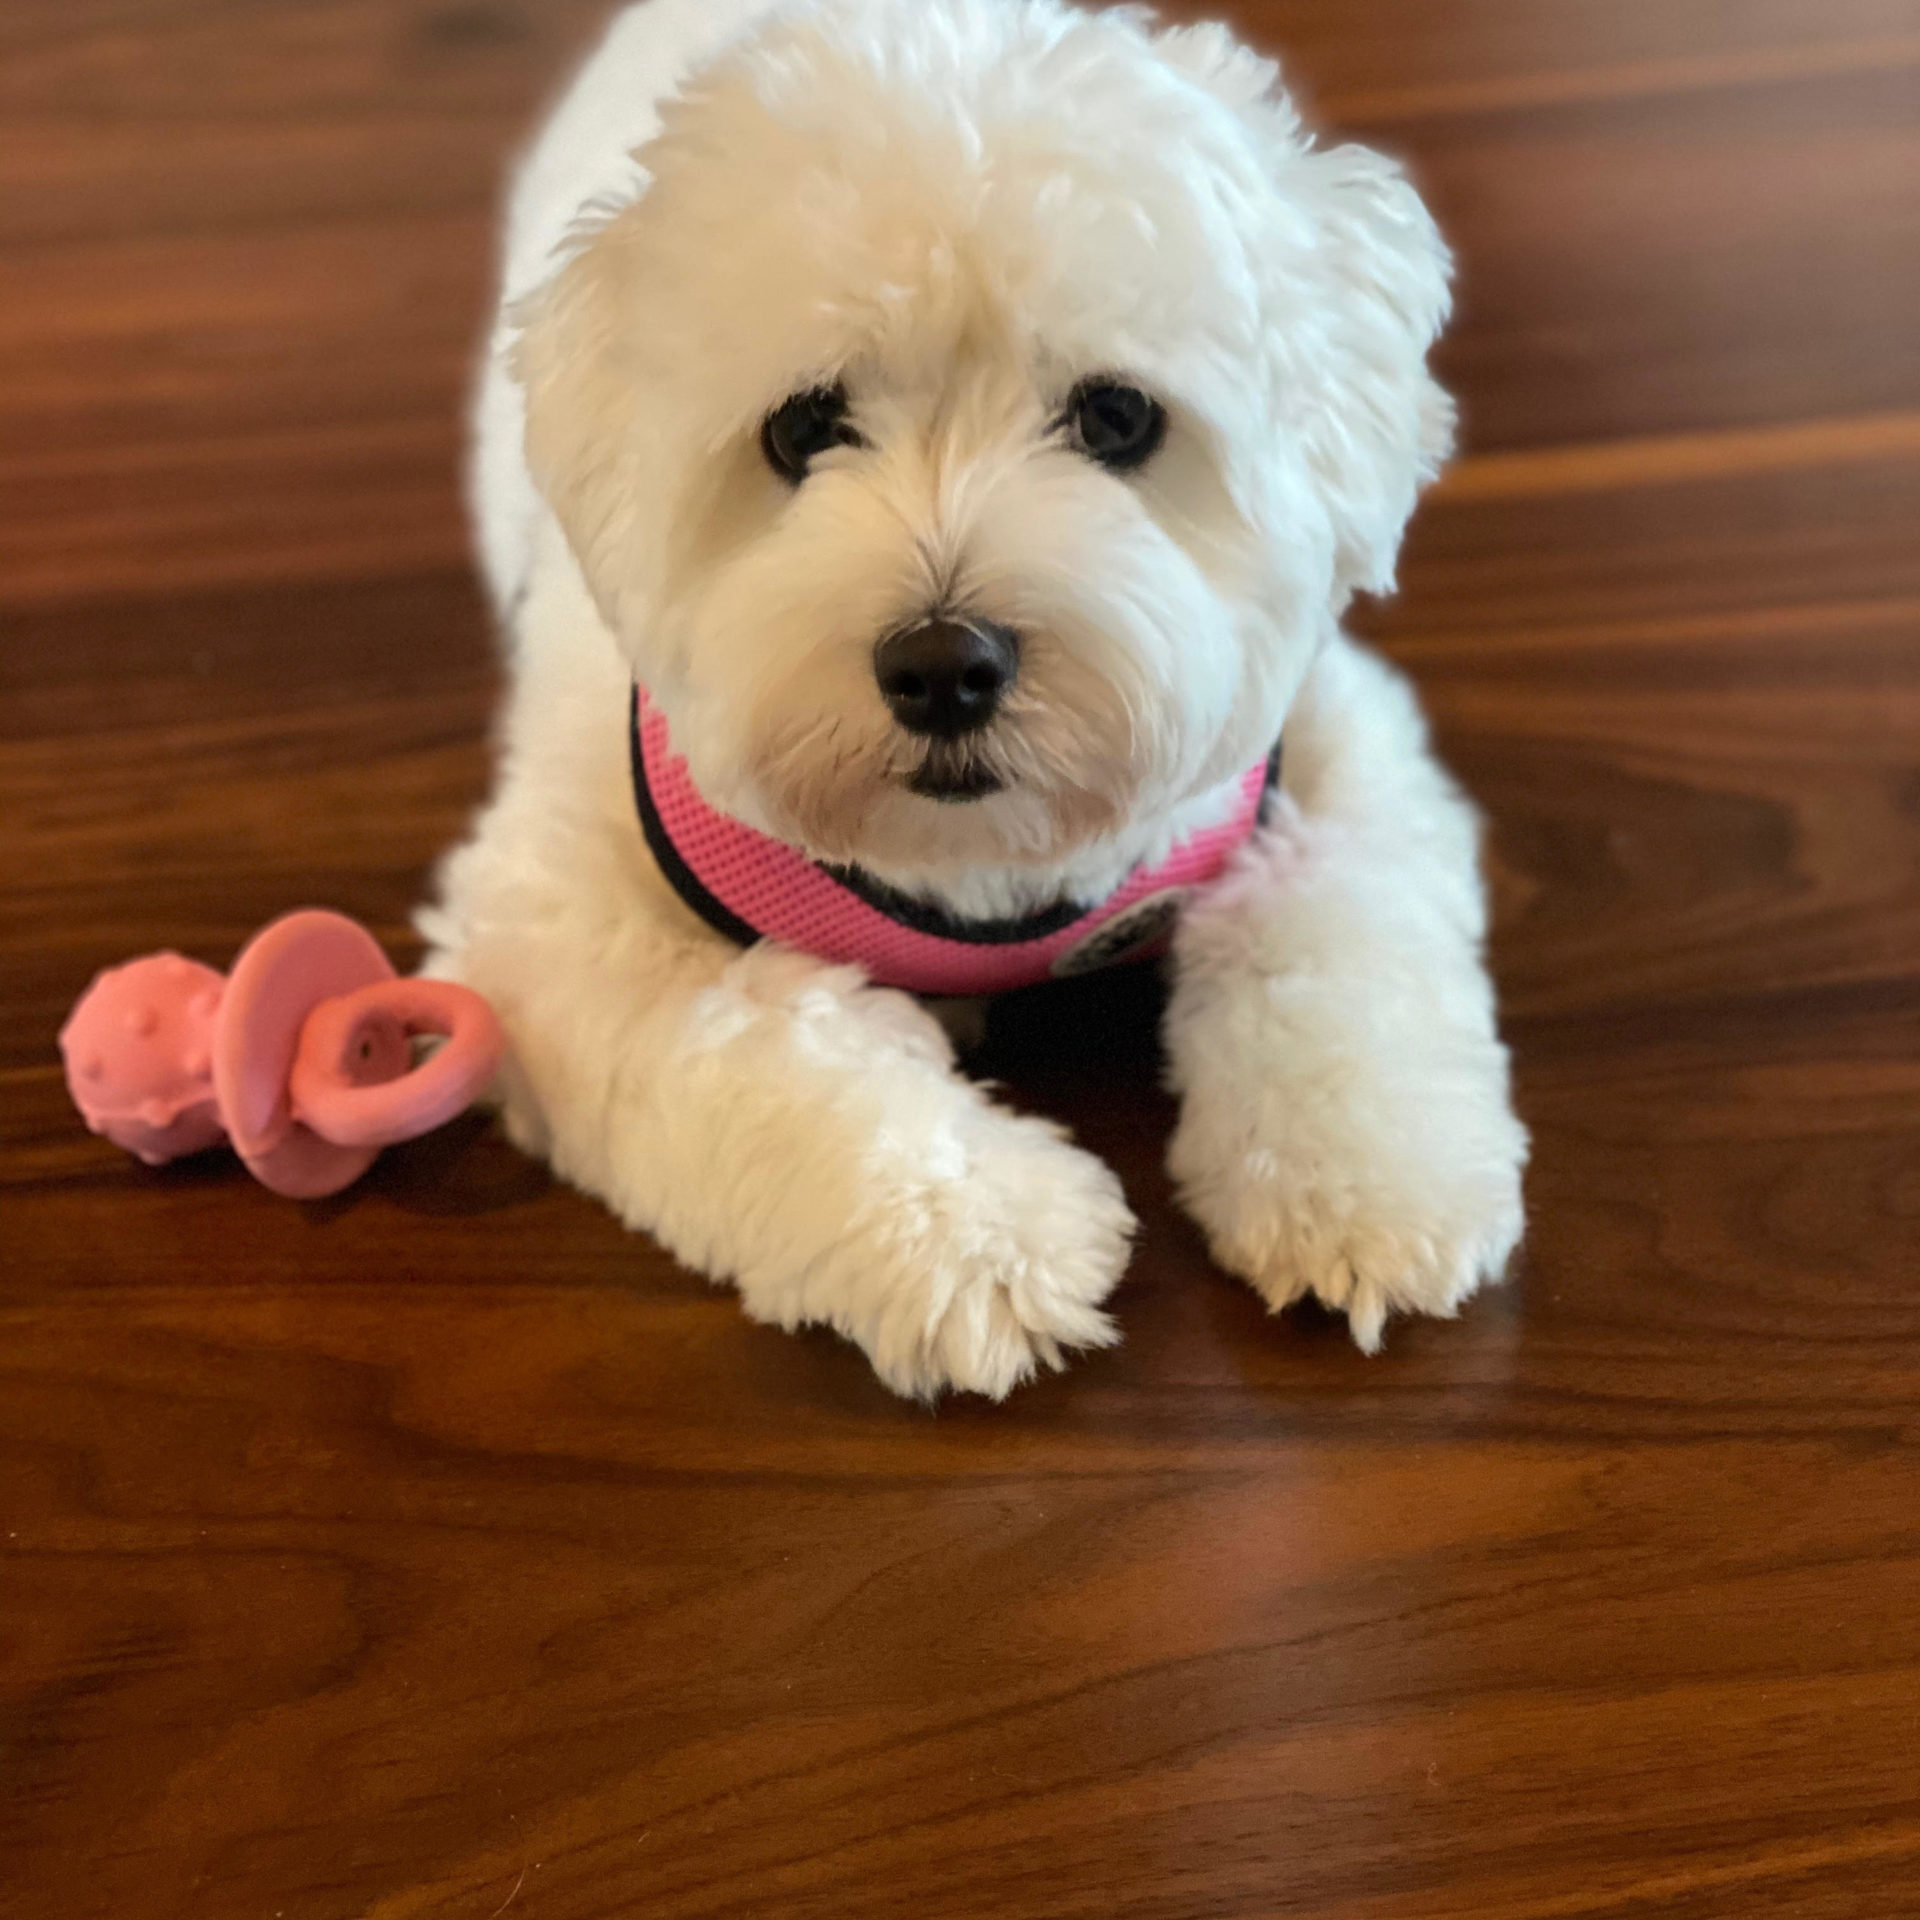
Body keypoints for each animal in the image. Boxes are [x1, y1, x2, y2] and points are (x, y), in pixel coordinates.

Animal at [424, 0, 1528, 1397]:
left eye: (1117, 417)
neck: (978, 866)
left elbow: (1337, 933)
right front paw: (980, 1232)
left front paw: (1361, 1177)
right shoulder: (553, 933)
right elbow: (765, 1048)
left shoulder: (1322, 746)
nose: (943, 663)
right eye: (803, 429)